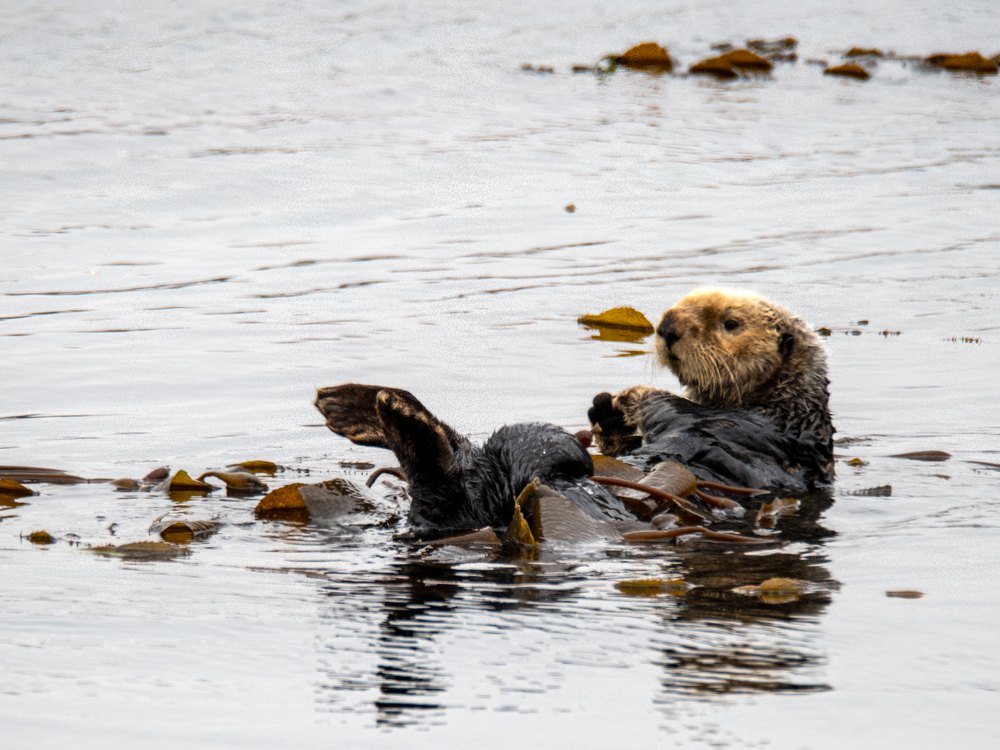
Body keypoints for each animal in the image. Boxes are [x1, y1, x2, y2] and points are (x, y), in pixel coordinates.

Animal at [589, 289, 834, 493]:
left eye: (731, 323)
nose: (667, 326)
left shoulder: (733, 426)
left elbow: (670, 409)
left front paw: (631, 395)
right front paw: (606, 413)